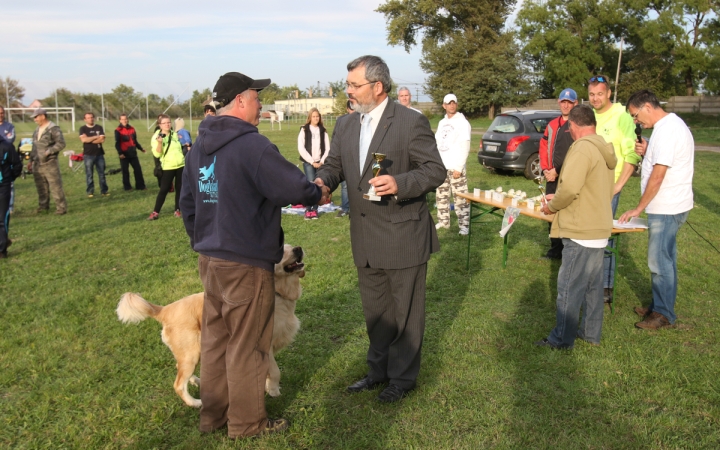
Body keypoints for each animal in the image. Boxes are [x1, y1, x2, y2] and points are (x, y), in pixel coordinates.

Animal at [114, 244, 304, 410]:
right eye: (280, 250)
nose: (298, 249)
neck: (281, 295)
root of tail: (165, 309)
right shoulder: (264, 344)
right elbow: (275, 371)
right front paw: (273, 391)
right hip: (191, 353)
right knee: (178, 384)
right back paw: (195, 402)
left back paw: (197, 381)